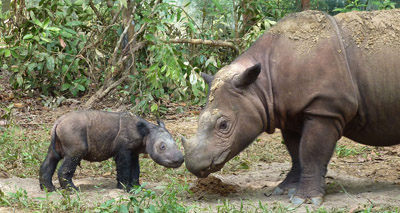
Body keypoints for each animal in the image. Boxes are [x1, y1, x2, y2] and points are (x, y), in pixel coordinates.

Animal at [39, 110, 184, 192]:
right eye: (162, 147)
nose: (180, 159)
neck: (145, 133)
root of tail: (57, 122)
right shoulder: (123, 150)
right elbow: (124, 168)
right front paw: (126, 189)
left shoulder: (133, 151)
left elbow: (135, 169)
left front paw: (137, 187)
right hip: (72, 131)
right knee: (73, 156)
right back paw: (73, 190)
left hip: (61, 133)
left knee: (52, 157)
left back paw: (49, 189)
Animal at [182, 9, 400, 206]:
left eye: (224, 125)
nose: (193, 166)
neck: (260, 85)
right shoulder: (289, 113)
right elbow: (296, 153)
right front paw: (285, 189)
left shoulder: (325, 109)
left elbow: (311, 152)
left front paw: (305, 200)